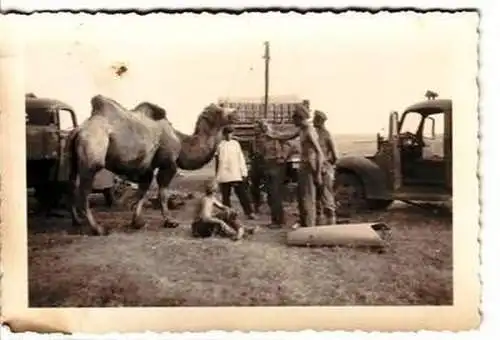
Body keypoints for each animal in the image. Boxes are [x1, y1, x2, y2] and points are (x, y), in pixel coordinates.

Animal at [68, 94, 236, 235]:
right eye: (219, 110)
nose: (235, 113)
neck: (180, 141)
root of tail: (78, 130)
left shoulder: (147, 168)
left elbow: (142, 191)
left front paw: (137, 222)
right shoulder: (168, 163)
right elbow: (162, 193)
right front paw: (170, 221)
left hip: (73, 160)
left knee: (71, 186)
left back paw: (77, 221)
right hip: (92, 156)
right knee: (84, 192)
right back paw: (98, 228)